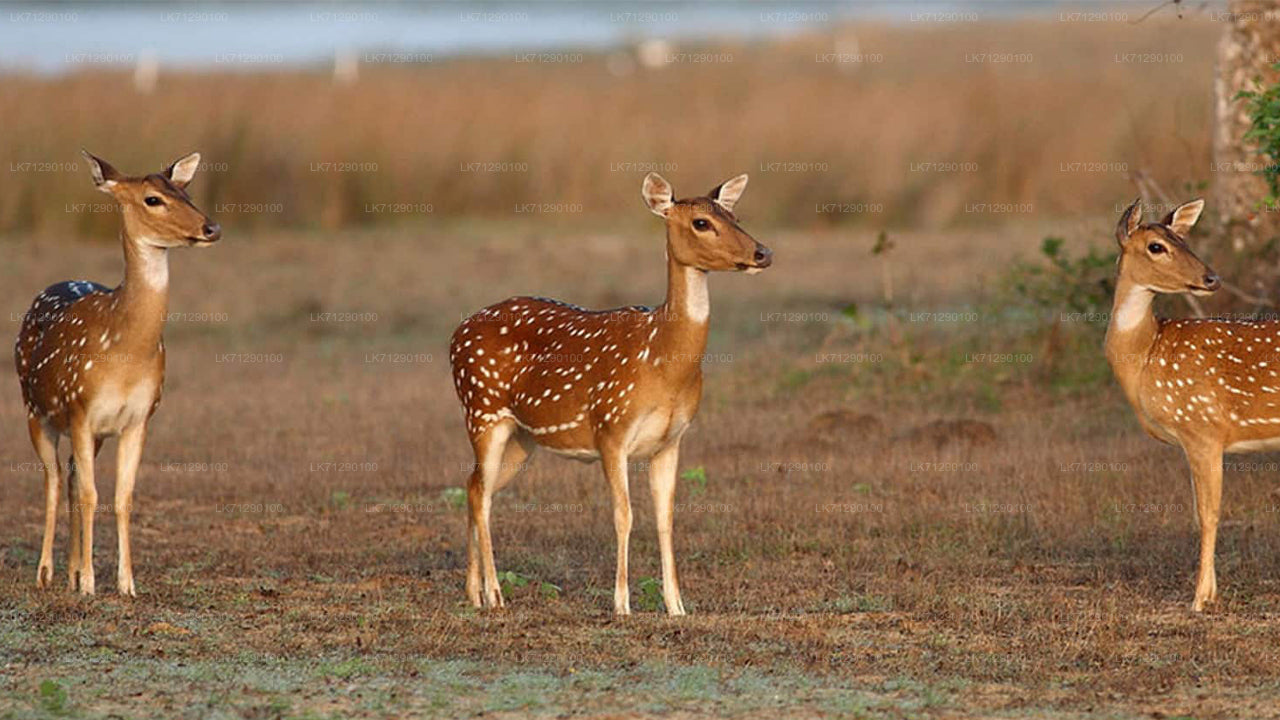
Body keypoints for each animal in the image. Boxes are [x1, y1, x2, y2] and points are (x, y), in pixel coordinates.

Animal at [16, 149, 221, 594]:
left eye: (186, 191)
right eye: (152, 199)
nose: (211, 228)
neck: (125, 354)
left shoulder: (139, 417)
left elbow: (122, 496)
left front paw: (125, 583)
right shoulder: (79, 408)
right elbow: (92, 494)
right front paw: (92, 584)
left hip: (88, 433)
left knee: (72, 477)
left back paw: (72, 571)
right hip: (35, 410)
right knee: (54, 480)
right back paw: (46, 573)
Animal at [450, 172, 768, 609]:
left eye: (735, 215)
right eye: (701, 222)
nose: (762, 253)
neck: (663, 362)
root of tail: (455, 334)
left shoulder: (671, 440)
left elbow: (666, 517)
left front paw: (676, 607)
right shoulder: (611, 428)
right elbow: (624, 515)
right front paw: (622, 604)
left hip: (522, 438)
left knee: (474, 486)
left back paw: (474, 593)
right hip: (482, 409)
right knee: (480, 492)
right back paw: (495, 594)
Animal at [1100, 197, 1280, 609]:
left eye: (1184, 238)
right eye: (1157, 246)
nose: (1212, 278)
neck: (1146, 354)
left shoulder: (1202, 426)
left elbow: (1208, 514)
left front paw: (1200, 599)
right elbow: (1202, 513)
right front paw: (1209, 593)